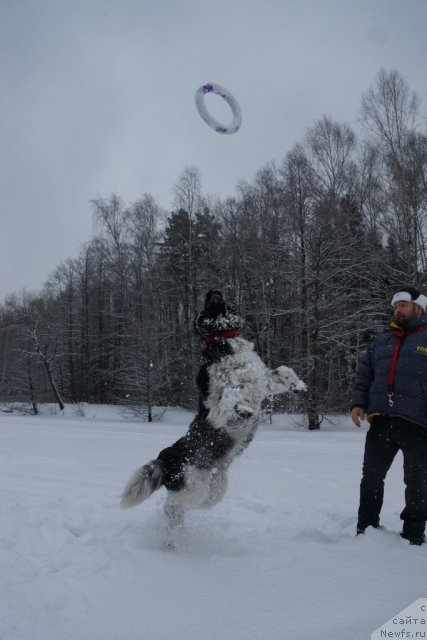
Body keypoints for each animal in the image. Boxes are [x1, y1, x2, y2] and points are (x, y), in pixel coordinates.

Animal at [122, 292, 306, 528]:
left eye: (220, 298)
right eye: (206, 302)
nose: (213, 292)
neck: (223, 339)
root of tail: (166, 458)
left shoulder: (262, 382)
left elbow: (281, 371)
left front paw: (297, 385)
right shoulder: (214, 406)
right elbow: (231, 392)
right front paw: (242, 407)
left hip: (213, 489)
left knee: (184, 508)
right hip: (192, 487)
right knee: (172, 507)